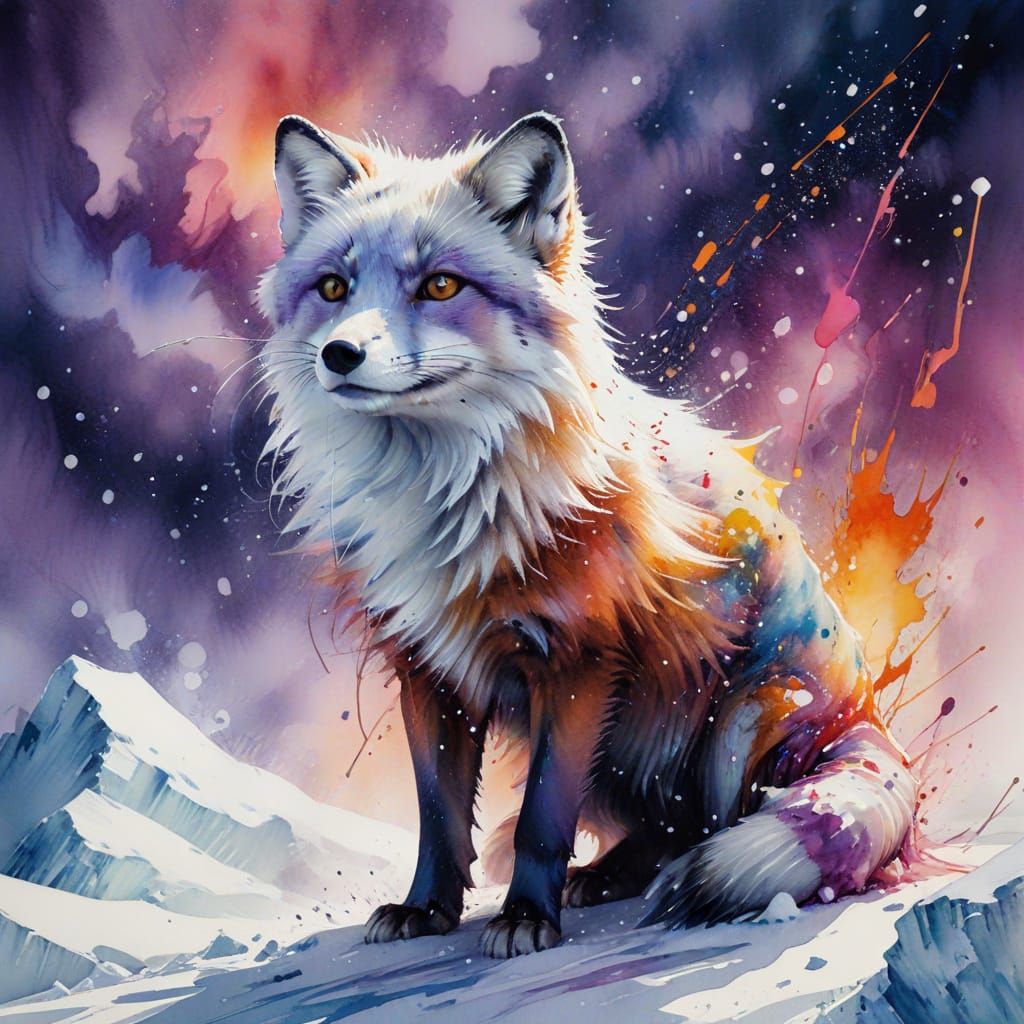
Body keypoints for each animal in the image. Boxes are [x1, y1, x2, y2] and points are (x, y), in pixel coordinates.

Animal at [258, 111, 916, 958]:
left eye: (440, 286)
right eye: (334, 289)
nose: (340, 354)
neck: (448, 504)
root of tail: (870, 718)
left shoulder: (580, 659)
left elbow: (541, 818)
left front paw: (526, 918)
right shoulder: (427, 665)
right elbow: (439, 815)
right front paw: (426, 910)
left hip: (742, 714)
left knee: (707, 826)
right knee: (663, 829)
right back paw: (608, 874)